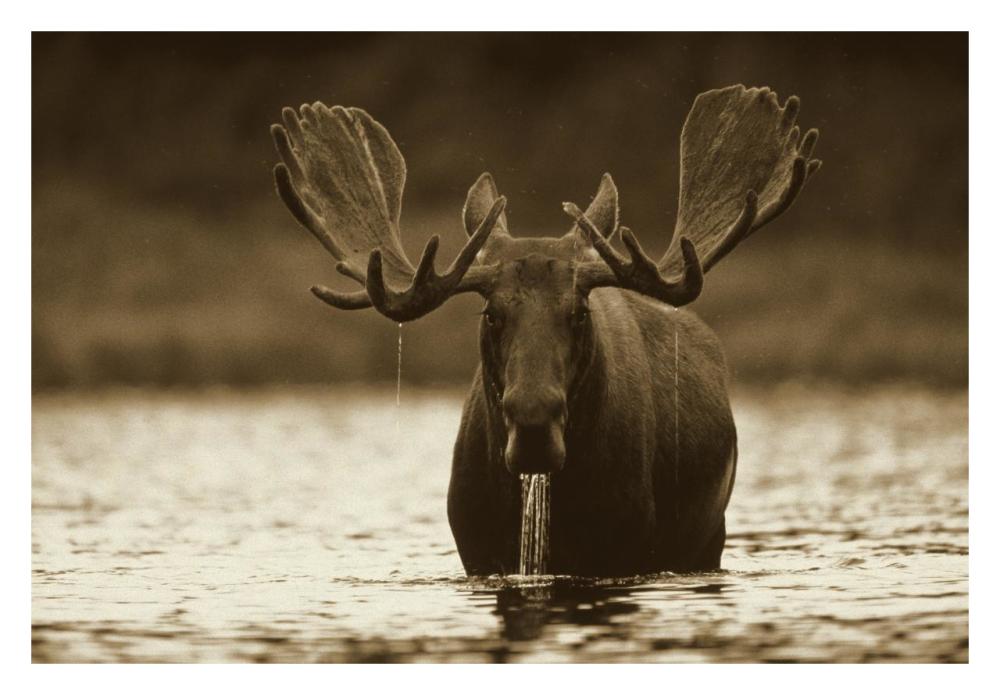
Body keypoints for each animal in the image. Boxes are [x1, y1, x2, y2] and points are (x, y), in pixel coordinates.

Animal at [270, 85, 821, 577]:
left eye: (578, 312)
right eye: (491, 314)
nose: (533, 422)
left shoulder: (628, 543)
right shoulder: (476, 549)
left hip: (711, 536)